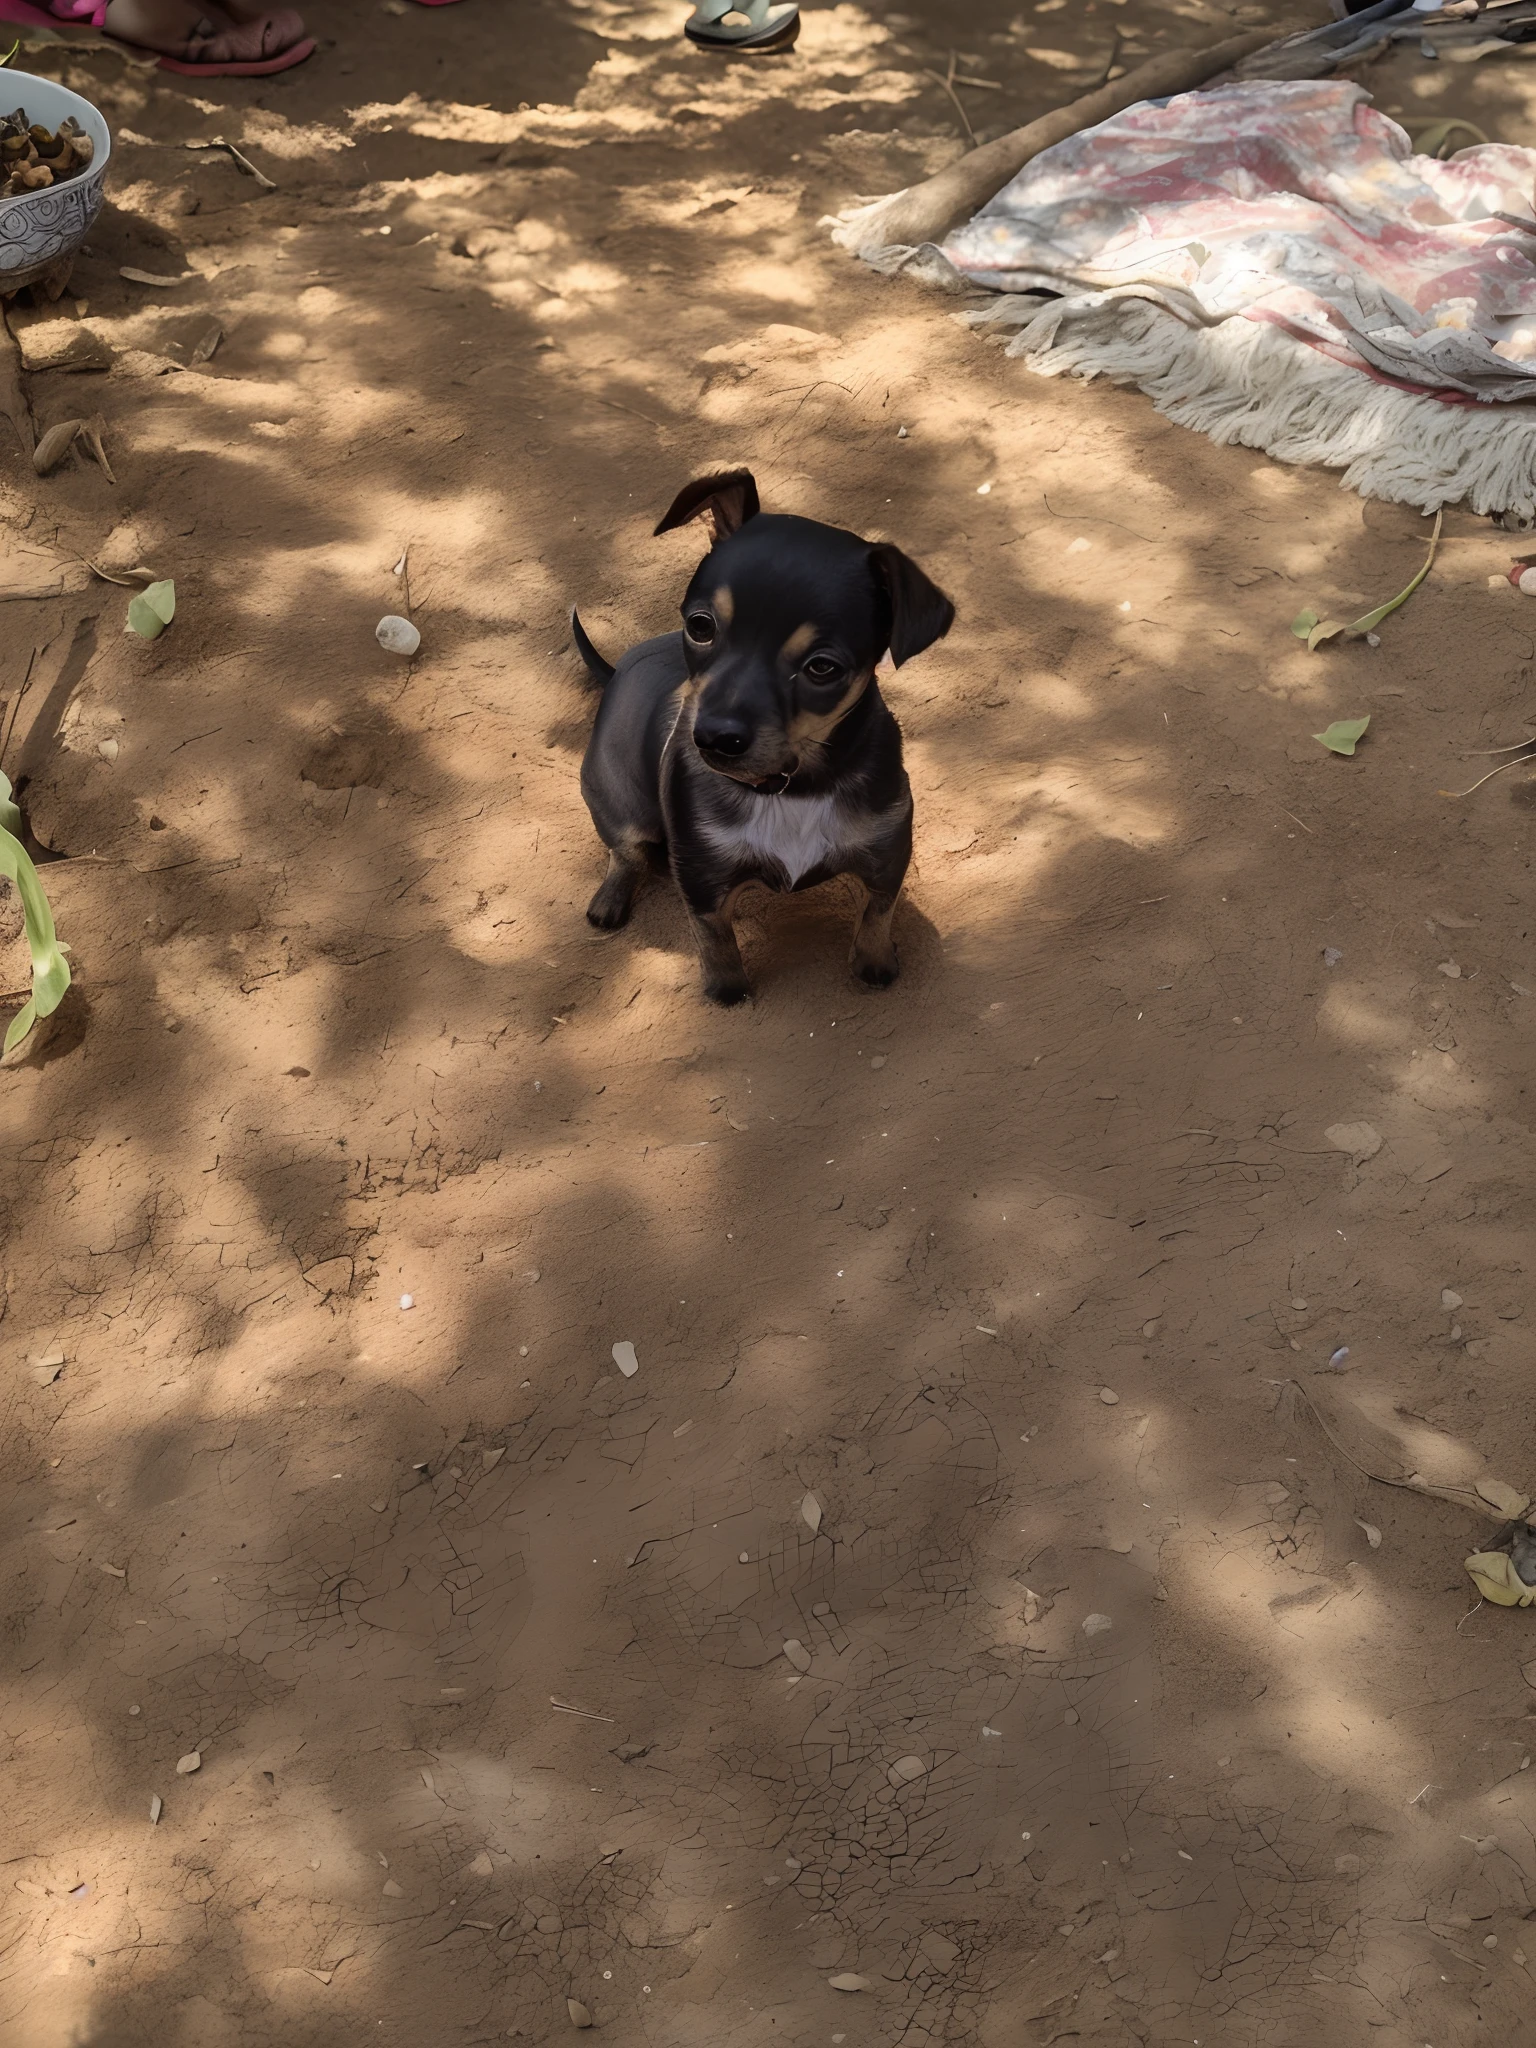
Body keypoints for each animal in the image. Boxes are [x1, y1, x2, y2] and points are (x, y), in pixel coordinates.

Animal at [573, 471, 958, 999]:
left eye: (822, 668)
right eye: (700, 626)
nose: (713, 738)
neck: (792, 789)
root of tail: (613, 674)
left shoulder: (887, 852)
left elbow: (878, 914)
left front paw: (874, 964)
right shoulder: (702, 876)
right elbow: (714, 939)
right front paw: (727, 990)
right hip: (617, 798)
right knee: (626, 850)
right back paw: (609, 900)